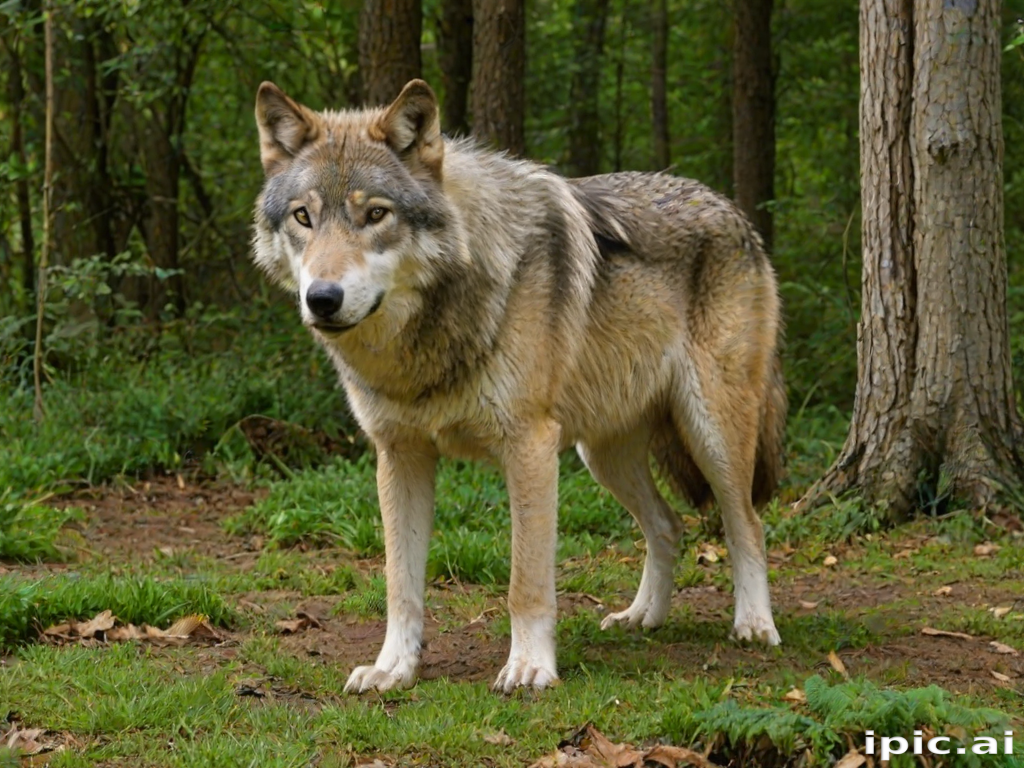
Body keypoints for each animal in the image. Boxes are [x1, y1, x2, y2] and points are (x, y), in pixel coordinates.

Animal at [251, 79, 787, 694]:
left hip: (712, 432)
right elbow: (400, 585)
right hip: (603, 456)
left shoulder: (528, 447)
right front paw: (394, 669)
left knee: (746, 523)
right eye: (303, 217)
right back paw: (643, 617)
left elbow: (525, 582)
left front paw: (530, 667)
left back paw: (754, 625)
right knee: (667, 524)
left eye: (376, 214)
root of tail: (732, 210)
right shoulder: (399, 455)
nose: (322, 298)